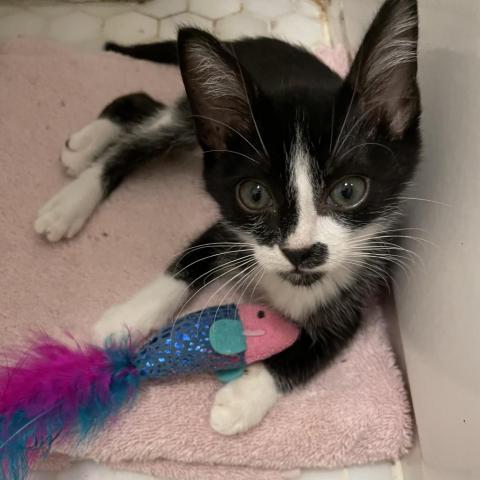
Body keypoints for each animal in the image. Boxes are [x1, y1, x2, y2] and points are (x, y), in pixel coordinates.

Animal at [35, 0, 422, 436]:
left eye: (349, 191)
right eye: (255, 194)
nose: (300, 252)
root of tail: (250, 41)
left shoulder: (361, 286)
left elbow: (312, 351)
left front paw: (241, 398)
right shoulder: (229, 223)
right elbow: (187, 261)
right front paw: (129, 318)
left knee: (143, 103)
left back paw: (85, 148)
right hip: (197, 120)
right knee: (144, 122)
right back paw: (73, 192)